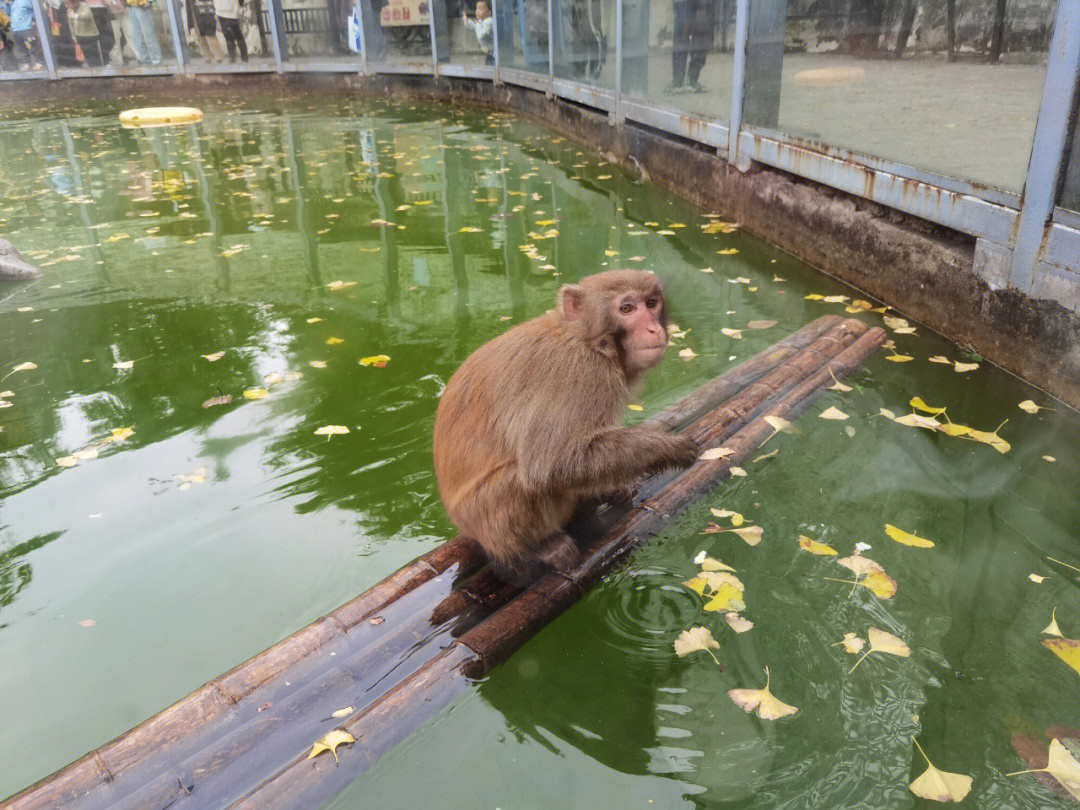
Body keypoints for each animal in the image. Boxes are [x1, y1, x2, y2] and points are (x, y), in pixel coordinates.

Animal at [432, 271, 699, 583]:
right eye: (627, 309)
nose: (654, 329)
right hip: (486, 522)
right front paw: (666, 447)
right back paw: (539, 548)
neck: (591, 340)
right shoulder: (577, 372)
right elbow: (550, 464)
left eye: (652, 303)